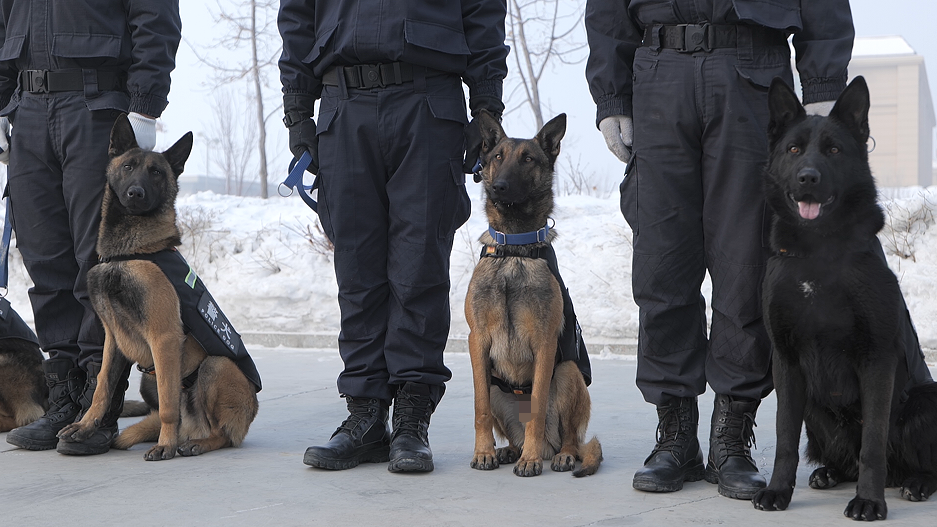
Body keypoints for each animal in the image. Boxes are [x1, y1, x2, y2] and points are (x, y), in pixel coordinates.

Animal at [55, 115, 260, 462]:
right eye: (128, 167)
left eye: (156, 173)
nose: (136, 193)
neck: (130, 251)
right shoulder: (113, 340)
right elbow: (102, 387)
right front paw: (84, 426)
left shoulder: (163, 337)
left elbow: (167, 405)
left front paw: (165, 444)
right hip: (146, 380)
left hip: (214, 367)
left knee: (220, 432)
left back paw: (193, 443)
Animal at [464, 111, 604, 478]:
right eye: (498, 157)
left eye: (528, 159)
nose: (499, 187)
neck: (514, 248)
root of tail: (549, 446)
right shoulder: (477, 340)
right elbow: (480, 408)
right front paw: (484, 452)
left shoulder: (545, 342)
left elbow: (538, 407)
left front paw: (529, 460)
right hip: (497, 386)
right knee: (505, 422)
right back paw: (508, 451)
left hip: (568, 372)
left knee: (569, 439)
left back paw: (554, 454)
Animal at [748, 76, 936, 520]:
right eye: (793, 149)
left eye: (833, 150)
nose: (808, 178)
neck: (818, 255)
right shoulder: (785, 364)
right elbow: (785, 439)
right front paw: (778, 491)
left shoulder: (877, 360)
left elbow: (873, 445)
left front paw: (869, 501)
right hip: (814, 405)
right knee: (841, 457)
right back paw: (829, 473)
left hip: (927, 399)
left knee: (916, 462)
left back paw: (917, 483)